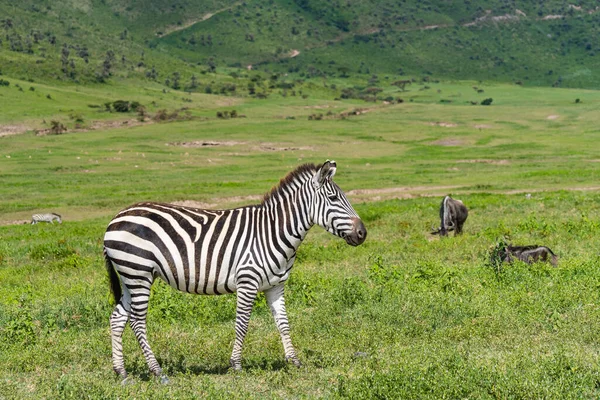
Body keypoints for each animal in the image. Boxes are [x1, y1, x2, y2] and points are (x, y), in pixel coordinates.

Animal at [103, 161, 366, 382]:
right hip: (139, 273)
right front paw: (236, 365)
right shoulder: (247, 281)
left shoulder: (276, 285)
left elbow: (283, 323)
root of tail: (115, 218)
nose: (363, 233)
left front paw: (294, 361)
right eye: (333, 198)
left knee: (118, 318)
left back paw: (121, 372)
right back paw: (157, 371)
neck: (272, 231)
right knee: (137, 321)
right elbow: (242, 323)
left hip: (130, 276)